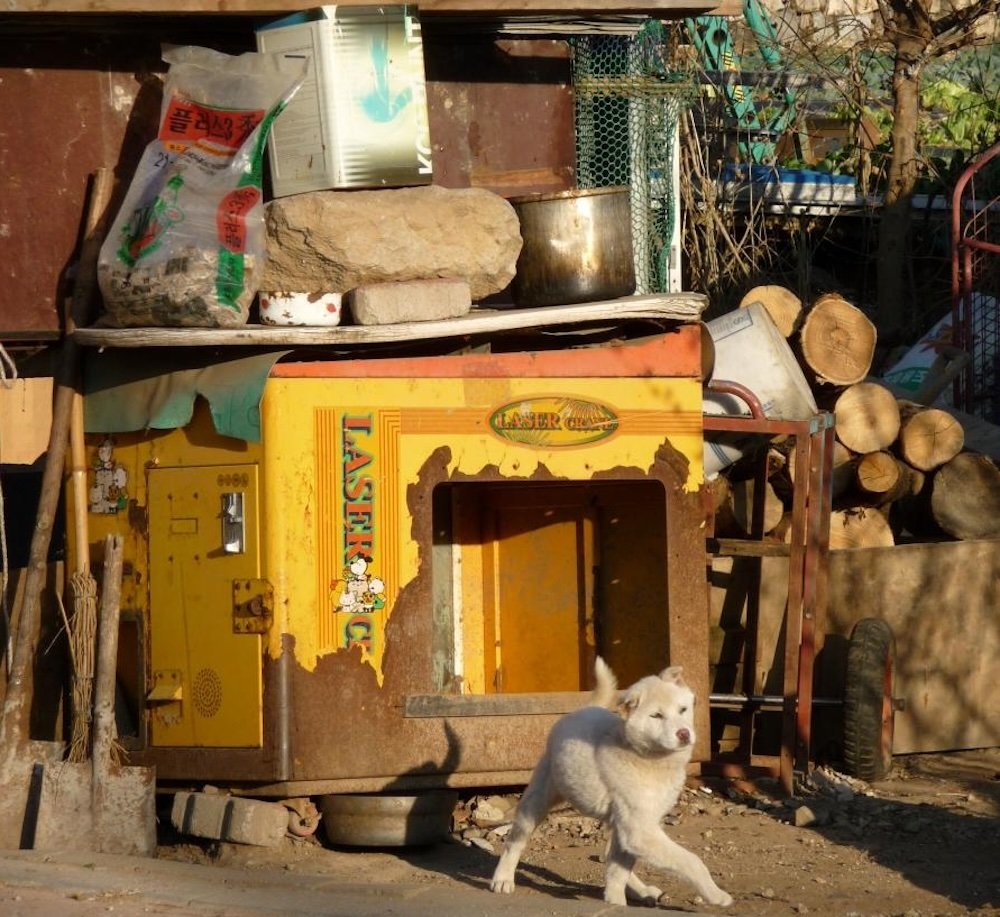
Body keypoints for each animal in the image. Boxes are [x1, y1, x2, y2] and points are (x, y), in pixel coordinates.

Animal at [492, 660, 736, 908]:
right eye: (656, 716)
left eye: (682, 710)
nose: (684, 734)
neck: (648, 758)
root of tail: (584, 709)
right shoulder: (639, 830)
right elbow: (690, 860)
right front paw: (716, 895)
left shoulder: (639, 827)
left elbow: (619, 872)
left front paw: (616, 902)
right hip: (537, 802)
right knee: (514, 842)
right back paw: (502, 879)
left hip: (617, 825)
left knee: (612, 856)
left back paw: (642, 891)